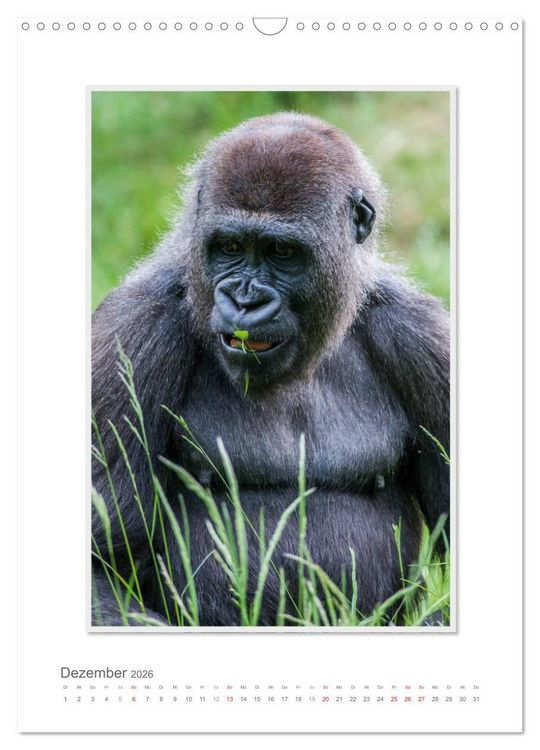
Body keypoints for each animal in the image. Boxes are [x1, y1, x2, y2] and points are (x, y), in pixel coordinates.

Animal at [91, 112, 450, 626]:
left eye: (282, 252)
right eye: (230, 246)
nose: (246, 301)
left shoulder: (425, 340)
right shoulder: (132, 332)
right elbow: (99, 558)